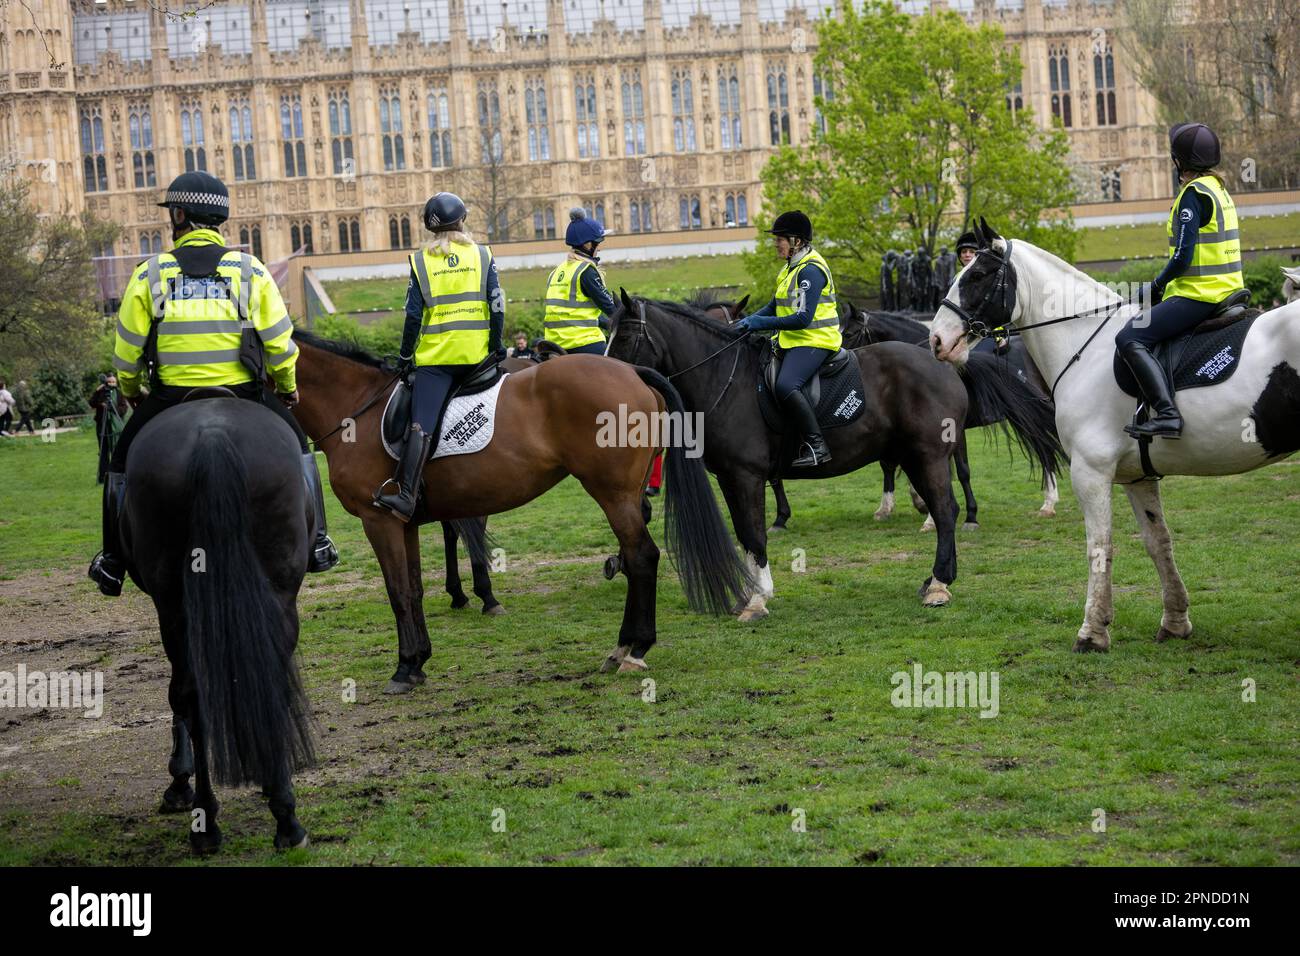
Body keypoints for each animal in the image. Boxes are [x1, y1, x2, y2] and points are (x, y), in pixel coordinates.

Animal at [121, 395, 314, 853]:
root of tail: (211, 434)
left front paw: (180, 782)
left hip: (174, 604)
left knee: (192, 694)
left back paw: (207, 820)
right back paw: (281, 815)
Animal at [288, 332, 748, 691]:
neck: (355, 410)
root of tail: (632, 371)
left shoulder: (378, 520)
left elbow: (397, 593)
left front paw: (403, 670)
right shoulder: (405, 523)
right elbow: (414, 589)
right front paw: (418, 660)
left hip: (613, 493)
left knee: (642, 558)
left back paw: (631, 648)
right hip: (627, 493)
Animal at [603, 293, 1060, 621]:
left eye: (623, 337)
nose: (608, 377)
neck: (726, 379)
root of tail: (946, 363)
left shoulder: (747, 476)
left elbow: (755, 534)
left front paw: (758, 600)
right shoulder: (731, 478)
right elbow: (746, 534)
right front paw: (754, 593)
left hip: (929, 454)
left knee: (946, 512)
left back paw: (940, 586)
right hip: (915, 455)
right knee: (938, 506)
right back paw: (934, 577)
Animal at [930, 218, 1300, 650]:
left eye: (977, 275)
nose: (936, 340)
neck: (1085, 346)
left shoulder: (1090, 472)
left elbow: (1099, 546)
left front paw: (1092, 632)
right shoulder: (1138, 477)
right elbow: (1158, 542)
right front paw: (1175, 621)